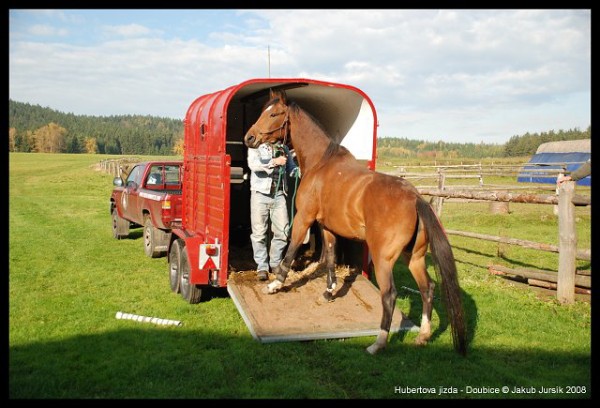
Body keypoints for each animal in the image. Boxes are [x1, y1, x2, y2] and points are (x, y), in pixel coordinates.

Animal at [241, 88, 466, 354]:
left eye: (274, 114)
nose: (249, 138)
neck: (320, 163)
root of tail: (415, 199)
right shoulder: (327, 227)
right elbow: (329, 258)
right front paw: (329, 292)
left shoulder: (304, 219)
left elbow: (292, 249)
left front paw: (276, 284)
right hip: (414, 257)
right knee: (427, 288)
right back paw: (423, 335)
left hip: (383, 259)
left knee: (389, 295)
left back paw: (378, 343)